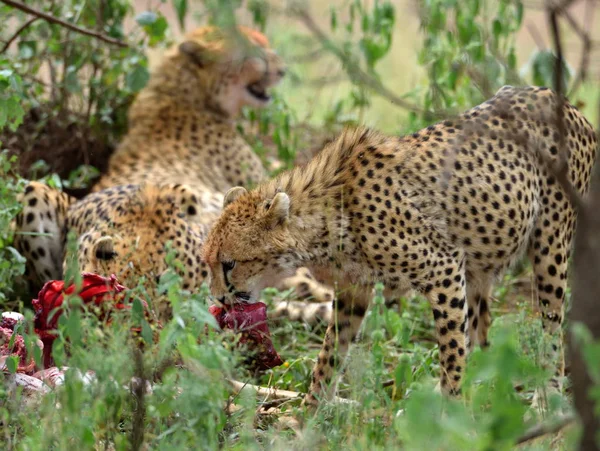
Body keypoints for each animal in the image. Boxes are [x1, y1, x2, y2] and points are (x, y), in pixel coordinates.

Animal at [200, 86, 596, 404]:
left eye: (230, 263)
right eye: (208, 262)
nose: (218, 298)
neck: (325, 214)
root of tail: (560, 99)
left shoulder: (444, 267)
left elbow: (452, 350)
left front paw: (449, 411)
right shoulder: (354, 289)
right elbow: (331, 354)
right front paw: (310, 414)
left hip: (550, 247)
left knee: (551, 326)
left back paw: (546, 396)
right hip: (482, 260)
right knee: (483, 325)